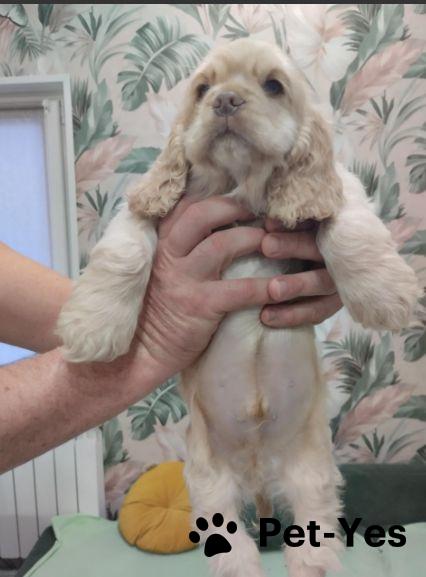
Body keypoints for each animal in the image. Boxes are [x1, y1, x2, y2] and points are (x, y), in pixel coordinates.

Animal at [57, 40, 419, 577]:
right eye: (202, 88)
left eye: (273, 85)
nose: (225, 101)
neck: (239, 184)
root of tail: (258, 475)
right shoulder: (151, 211)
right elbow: (126, 246)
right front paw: (93, 327)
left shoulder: (334, 189)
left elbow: (349, 222)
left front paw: (385, 294)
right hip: (209, 484)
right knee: (233, 546)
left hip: (311, 476)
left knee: (312, 531)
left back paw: (311, 563)